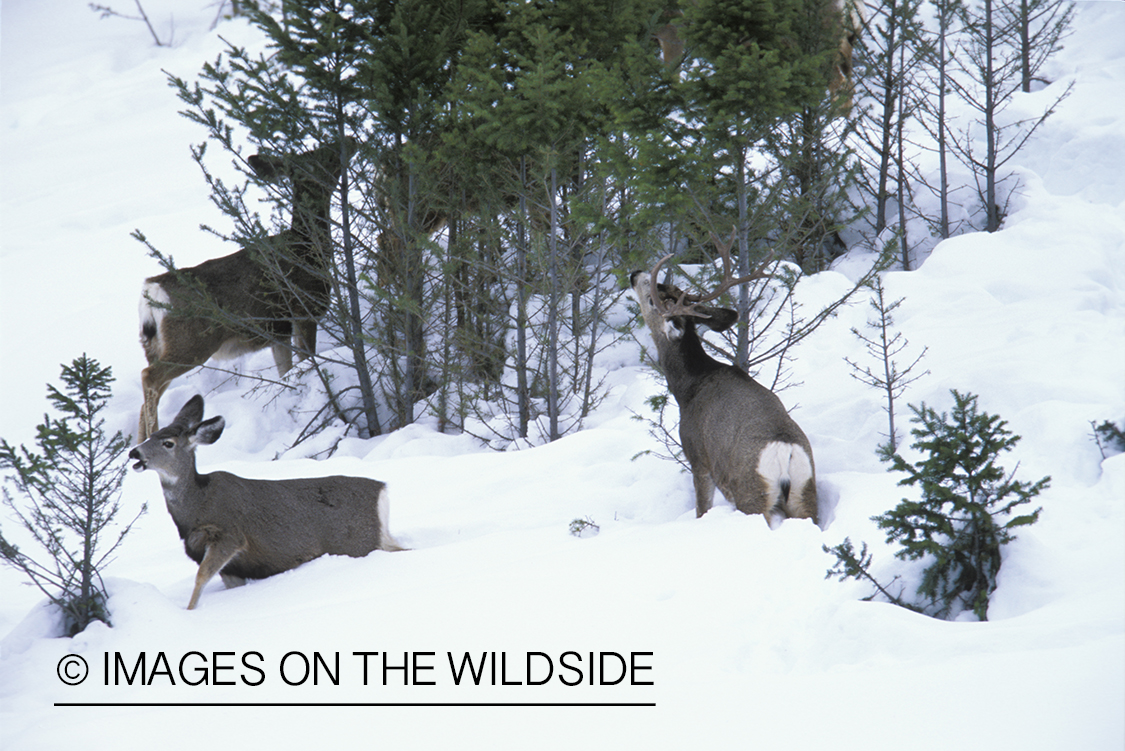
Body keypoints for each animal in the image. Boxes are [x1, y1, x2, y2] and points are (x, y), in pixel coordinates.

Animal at [129, 395, 402, 607]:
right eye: (151, 435)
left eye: (168, 443)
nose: (134, 452)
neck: (196, 506)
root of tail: (382, 490)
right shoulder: (233, 567)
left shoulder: (229, 535)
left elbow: (201, 577)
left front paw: (188, 612)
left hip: (359, 542)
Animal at [138, 140, 353, 440]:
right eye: (324, 155)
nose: (351, 141)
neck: (307, 248)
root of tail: (151, 289)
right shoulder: (305, 311)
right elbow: (307, 359)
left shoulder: (279, 331)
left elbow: (286, 369)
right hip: (192, 343)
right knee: (149, 377)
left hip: (156, 344)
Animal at [634, 246, 819, 528]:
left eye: (653, 299)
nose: (634, 274)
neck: (689, 387)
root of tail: (785, 451)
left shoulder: (697, 456)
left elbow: (702, 508)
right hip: (805, 491)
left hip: (750, 491)